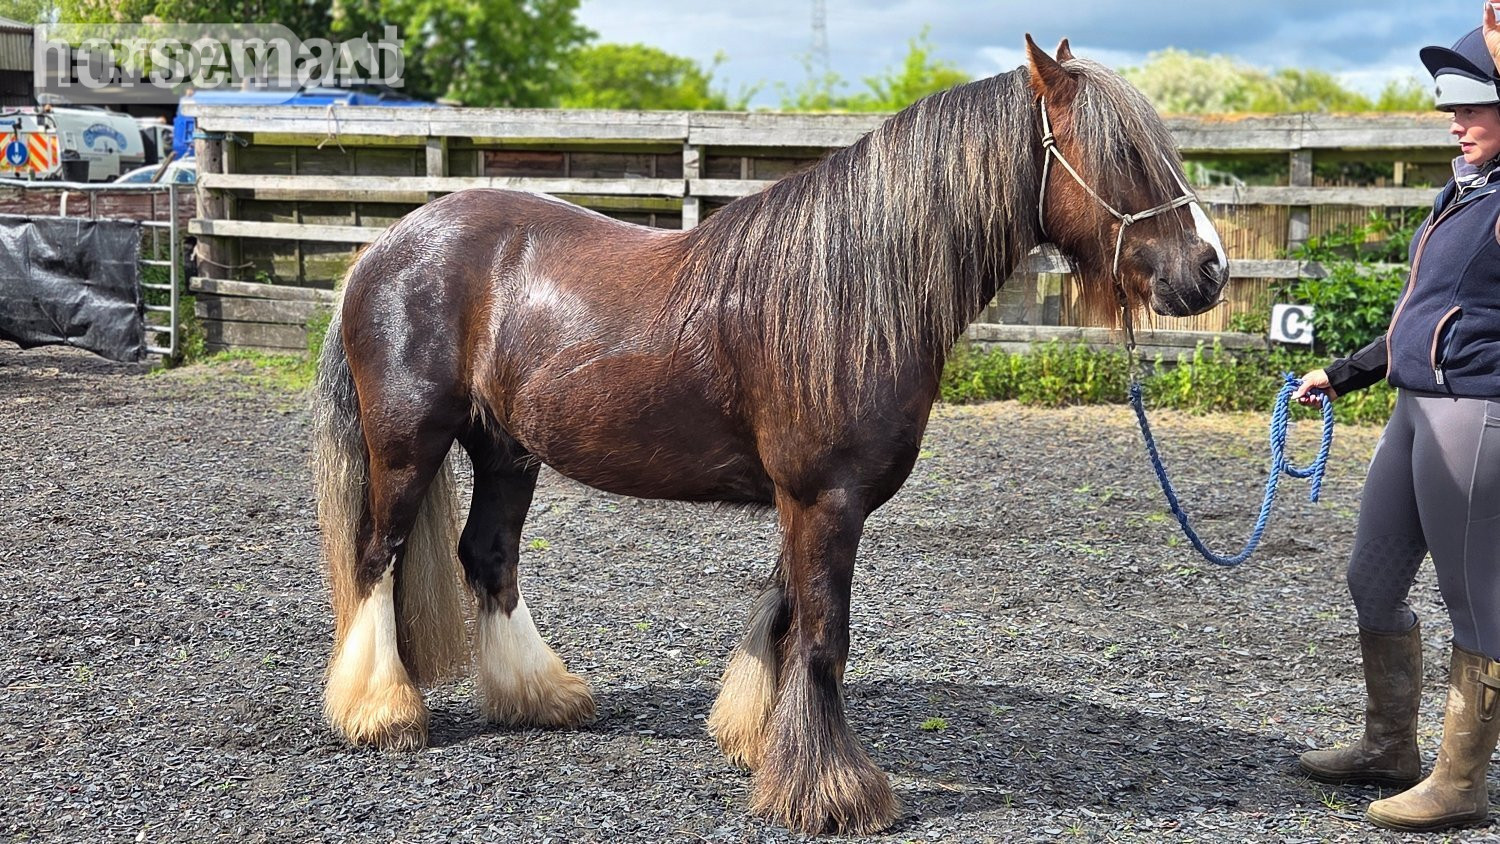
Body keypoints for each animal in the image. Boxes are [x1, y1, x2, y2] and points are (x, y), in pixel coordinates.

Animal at [309, 36, 1229, 835]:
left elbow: (784, 617)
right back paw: (382, 713)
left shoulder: (812, 501)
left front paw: (760, 741)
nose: (1209, 270)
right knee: (377, 557)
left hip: (507, 450)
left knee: (488, 556)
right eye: (1125, 155)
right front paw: (831, 792)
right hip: (409, 446)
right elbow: (822, 637)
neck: (852, 294)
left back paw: (542, 697)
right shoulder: (825, 498)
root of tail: (381, 249)